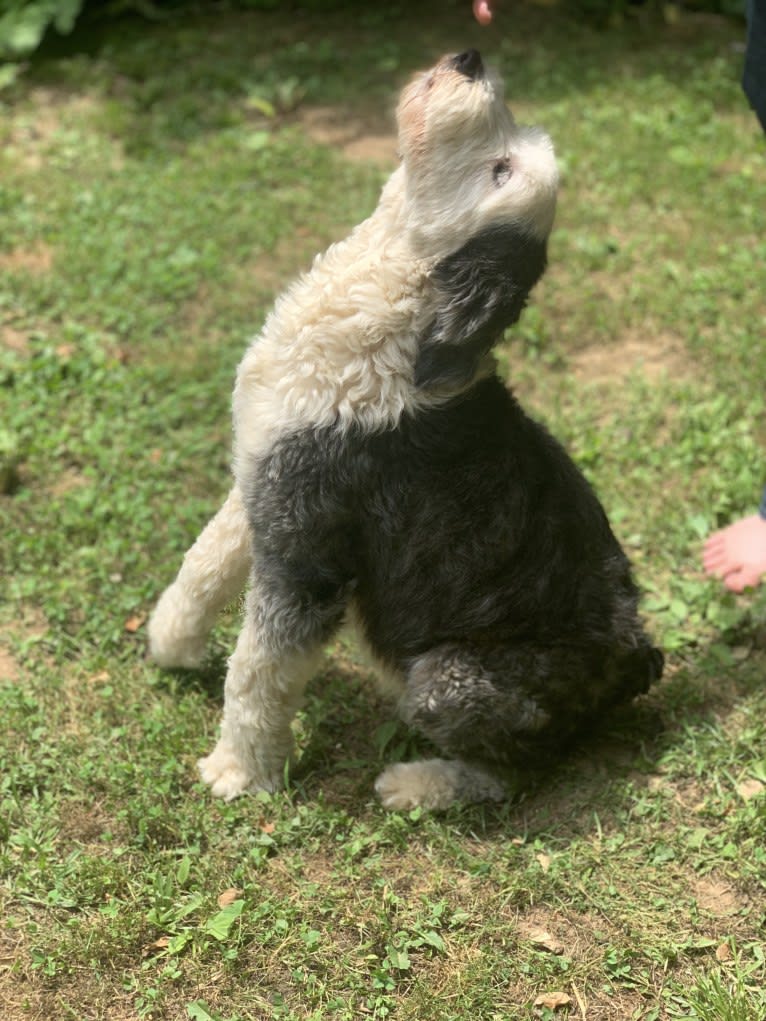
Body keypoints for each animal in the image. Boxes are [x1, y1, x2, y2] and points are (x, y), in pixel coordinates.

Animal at [147, 49, 661, 812]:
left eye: (501, 171)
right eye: (514, 138)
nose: (470, 59)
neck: (400, 328)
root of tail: (636, 659)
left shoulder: (308, 559)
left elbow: (258, 671)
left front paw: (238, 772)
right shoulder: (265, 480)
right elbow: (202, 565)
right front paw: (169, 644)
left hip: (447, 681)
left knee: (516, 774)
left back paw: (416, 785)